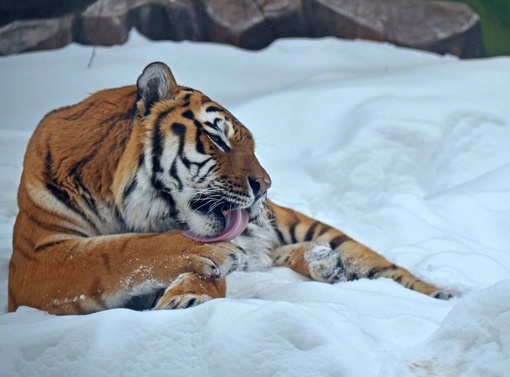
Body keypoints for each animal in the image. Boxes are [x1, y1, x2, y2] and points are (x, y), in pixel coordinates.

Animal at [6, 62, 450, 314]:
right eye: (218, 140)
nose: (265, 186)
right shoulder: (35, 262)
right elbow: (117, 252)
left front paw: (189, 297)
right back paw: (326, 264)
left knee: (387, 269)